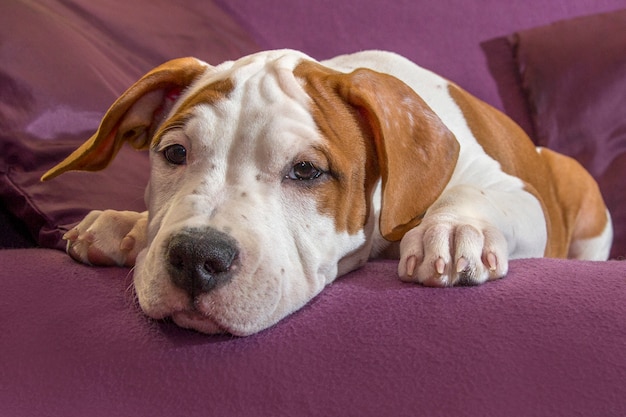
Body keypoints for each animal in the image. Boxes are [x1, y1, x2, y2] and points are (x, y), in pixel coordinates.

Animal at [41, 49, 612, 334]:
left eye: (306, 171)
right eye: (175, 153)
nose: (196, 258)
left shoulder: (517, 192)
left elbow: (478, 194)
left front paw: (451, 231)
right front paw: (124, 225)